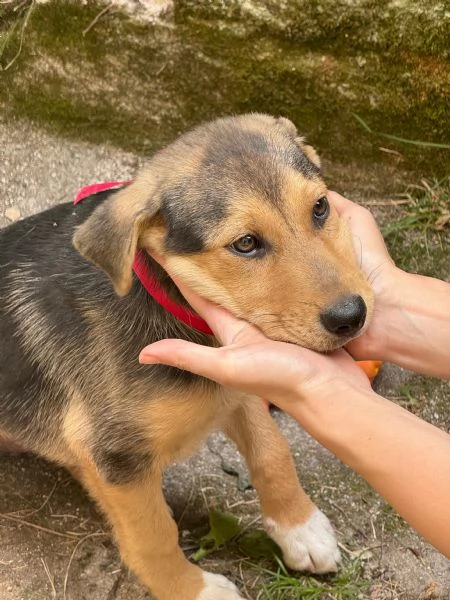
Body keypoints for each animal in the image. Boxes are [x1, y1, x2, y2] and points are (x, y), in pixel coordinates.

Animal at [0, 113, 372, 600]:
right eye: (246, 244)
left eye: (321, 208)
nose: (352, 316)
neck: (171, 304)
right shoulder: (116, 456)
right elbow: (153, 536)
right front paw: (195, 589)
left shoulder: (237, 380)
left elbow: (273, 451)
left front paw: (300, 529)